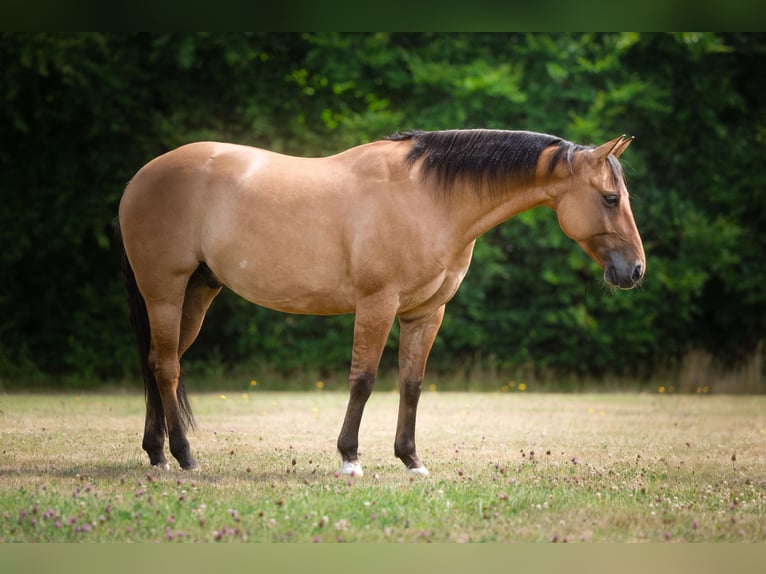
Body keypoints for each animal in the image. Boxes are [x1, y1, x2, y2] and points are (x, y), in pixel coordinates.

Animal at [117, 129, 645, 476]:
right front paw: (350, 458)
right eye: (609, 198)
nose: (636, 270)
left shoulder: (425, 313)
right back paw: (184, 455)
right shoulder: (377, 304)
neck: (429, 198)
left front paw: (411, 460)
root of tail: (140, 178)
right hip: (165, 292)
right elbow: (364, 379)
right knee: (167, 367)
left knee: (156, 363)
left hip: (195, 295)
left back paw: (157, 453)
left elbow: (411, 384)